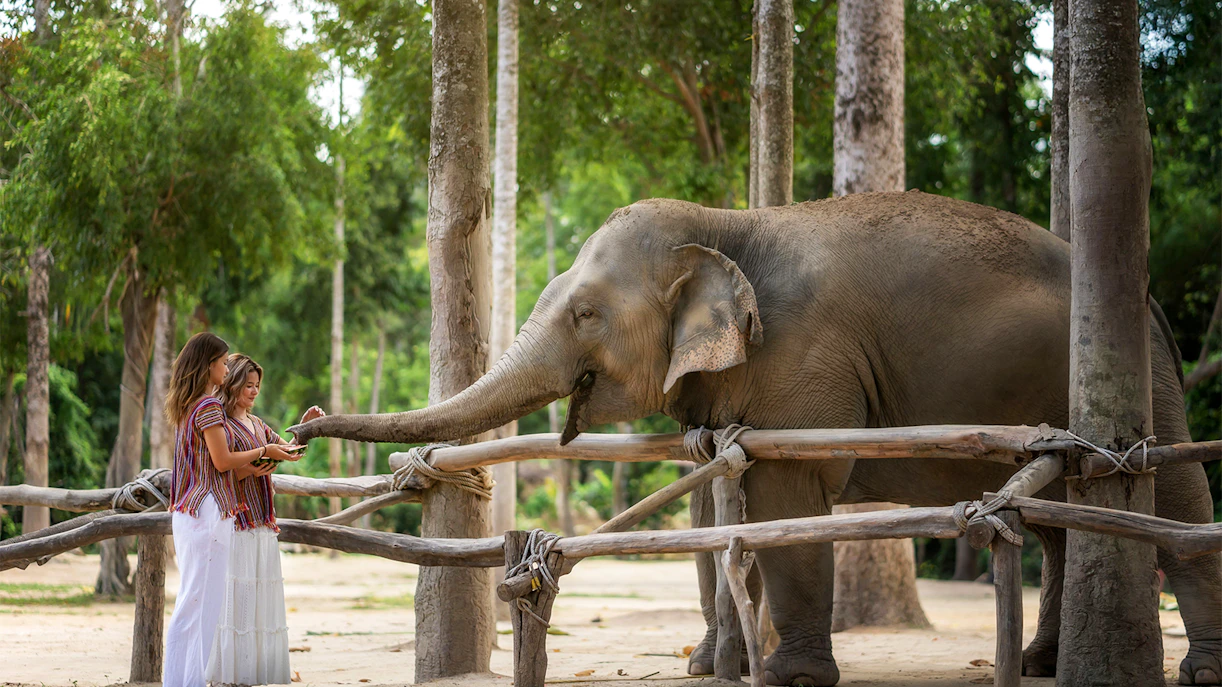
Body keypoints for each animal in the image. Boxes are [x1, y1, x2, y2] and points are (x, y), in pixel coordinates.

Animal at [291, 191, 1220, 686]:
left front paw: (786, 677)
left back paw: (1196, 669)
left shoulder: (805, 359)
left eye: (585, 312)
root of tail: (1152, 302)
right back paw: (1039, 660)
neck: (729, 221)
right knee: (1063, 512)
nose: (302, 419)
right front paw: (709, 665)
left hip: (1137, 376)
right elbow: (714, 495)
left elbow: (789, 493)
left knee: (1171, 493)